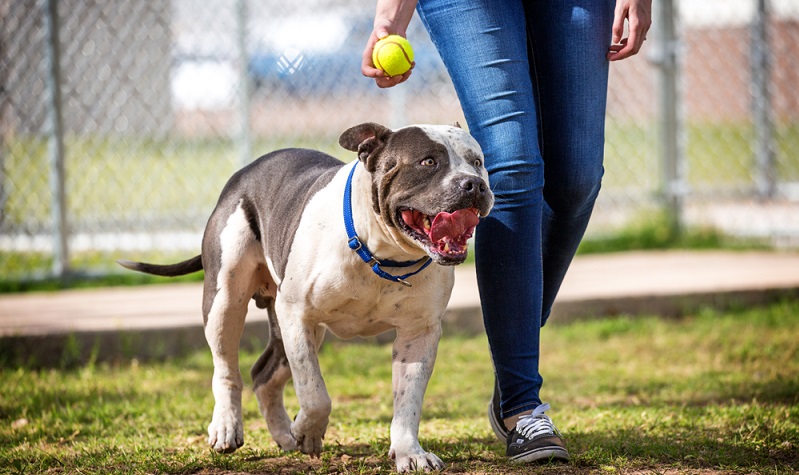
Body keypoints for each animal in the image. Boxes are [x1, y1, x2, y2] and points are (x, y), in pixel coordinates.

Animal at [119, 122, 494, 472]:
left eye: (477, 162)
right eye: (428, 161)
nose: (474, 184)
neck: (382, 254)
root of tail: (245, 173)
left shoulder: (419, 334)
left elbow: (408, 401)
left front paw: (410, 454)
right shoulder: (298, 315)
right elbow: (315, 394)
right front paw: (309, 431)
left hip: (288, 325)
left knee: (264, 374)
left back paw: (284, 435)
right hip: (226, 300)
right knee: (227, 367)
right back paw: (228, 427)